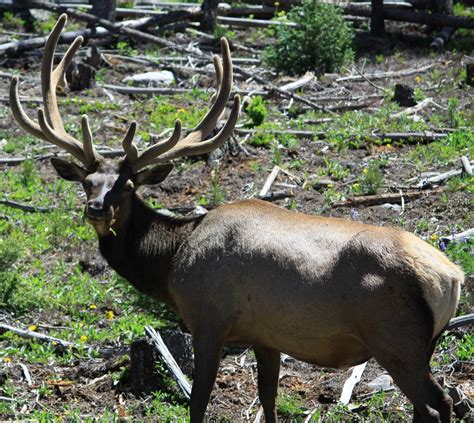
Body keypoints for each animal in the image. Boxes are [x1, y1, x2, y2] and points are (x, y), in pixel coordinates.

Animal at [9, 14, 464, 423]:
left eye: (127, 186)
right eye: (87, 182)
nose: (97, 208)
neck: (171, 262)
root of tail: (451, 277)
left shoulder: (209, 320)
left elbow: (197, 404)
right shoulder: (266, 336)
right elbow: (268, 401)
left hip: (396, 340)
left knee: (437, 406)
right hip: (421, 345)